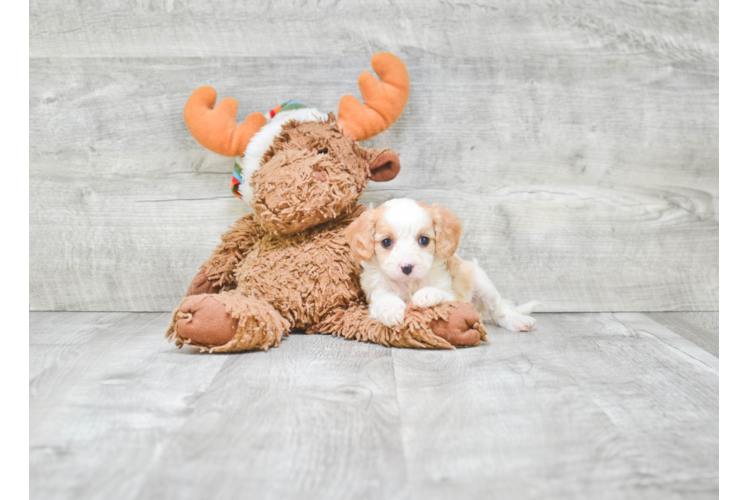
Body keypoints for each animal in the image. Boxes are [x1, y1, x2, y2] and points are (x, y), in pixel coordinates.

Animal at [344, 198, 536, 332]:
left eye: (424, 240)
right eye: (386, 242)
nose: (407, 267)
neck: (409, 284)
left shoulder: (452, 295)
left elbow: (440, 292)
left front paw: (426, 295)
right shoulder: (375, 292)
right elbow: (384, 298)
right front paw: (391, 309)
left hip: (482, 284)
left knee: (501, 310)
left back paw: (518, 320)